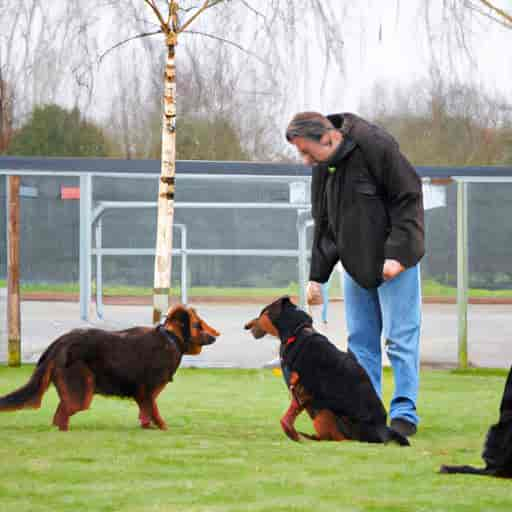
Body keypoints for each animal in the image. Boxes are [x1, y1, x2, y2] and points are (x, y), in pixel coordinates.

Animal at [0, 306, 220, 430]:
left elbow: (146, 415)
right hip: (82, 393)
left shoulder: (144, 397)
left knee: (58, 416)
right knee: (61, 415)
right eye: (198, 325)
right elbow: (155, 414)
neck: (171, 339)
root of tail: (59, 343)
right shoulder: (147, 393)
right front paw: (164, 428)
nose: (215, 336)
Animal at [246, 298, 410, 446]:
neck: (296, 333)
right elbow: (288, 417)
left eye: (262, 312)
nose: (246, 326)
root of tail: (384, 431)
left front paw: (294, 435)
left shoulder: (303, 390)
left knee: (342, 439)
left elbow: (286, 420)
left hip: (327, 412)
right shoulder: (300, 393)